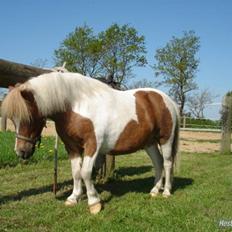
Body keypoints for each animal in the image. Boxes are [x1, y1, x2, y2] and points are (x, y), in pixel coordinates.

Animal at [0, 72, 180, 214]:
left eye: (29, 118)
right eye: (12, 120)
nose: (21, 152)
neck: (76, 106)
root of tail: (167, 100)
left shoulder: (92, 146)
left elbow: (86, 172)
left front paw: (94, 202)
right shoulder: (72, 147)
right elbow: (76, 172)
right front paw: (73, 198)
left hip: (165, 139)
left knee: (167, 163)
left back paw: (166, 192)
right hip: (149, 143)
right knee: (158, 163)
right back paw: (154, 190)